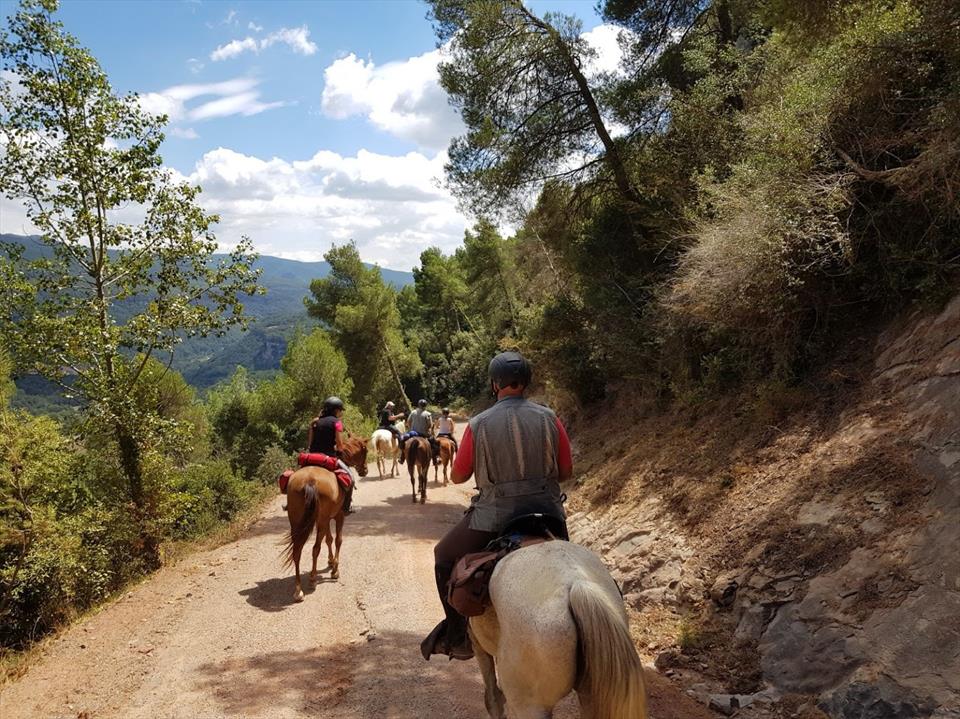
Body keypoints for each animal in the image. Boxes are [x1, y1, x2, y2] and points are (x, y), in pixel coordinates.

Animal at [282, 436, 368, 602]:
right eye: (366, 451)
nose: (365, 470)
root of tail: (309, 481)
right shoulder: (338, 516)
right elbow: (337, 540)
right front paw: (335, 569)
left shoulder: (325, 519)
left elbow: (329, 539)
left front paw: (330, 561)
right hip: (321, 520)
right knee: (315, 548)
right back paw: (312, 579)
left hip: (297, 521)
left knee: (297, 551)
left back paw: (298, 590)